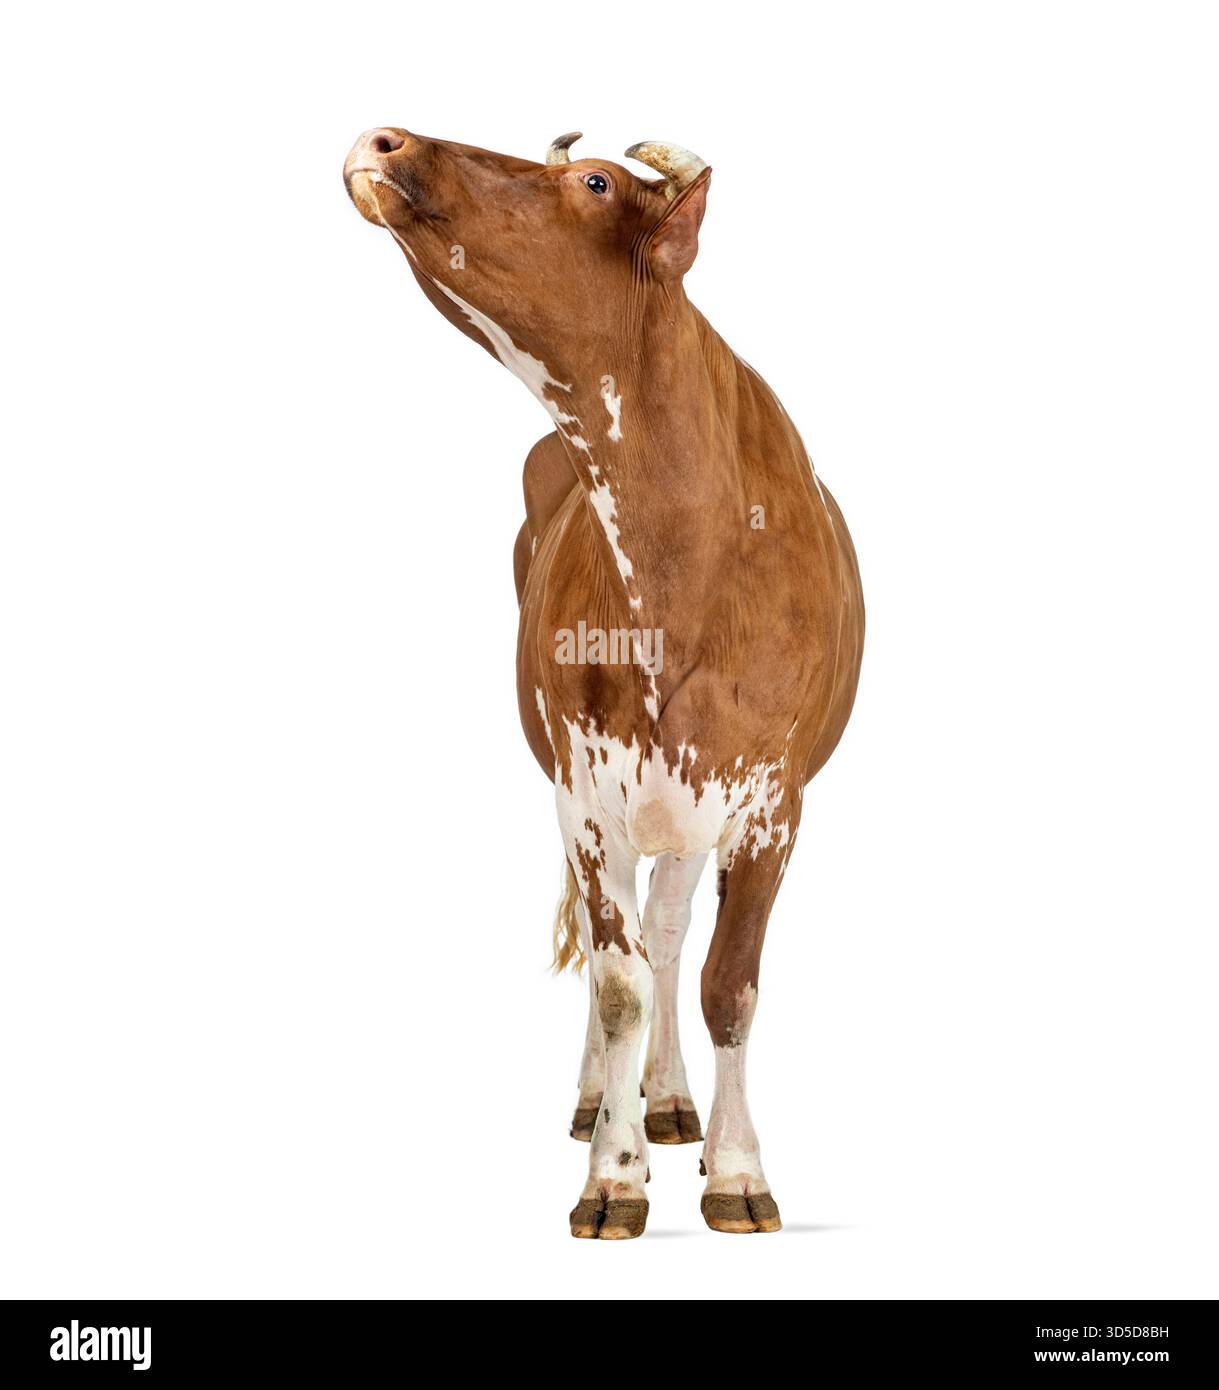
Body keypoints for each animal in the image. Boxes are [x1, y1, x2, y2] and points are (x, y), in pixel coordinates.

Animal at [343, 127, 865, 1239]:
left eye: (593, 183)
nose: (383, 138)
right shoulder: (587, 791)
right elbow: (618, 980)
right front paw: (614, 1174)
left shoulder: (771, 801)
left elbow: (726, 983)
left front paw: (734, 1168)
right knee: (616, 947)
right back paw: (610, 1102)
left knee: (671, 938)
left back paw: (670, 1101)